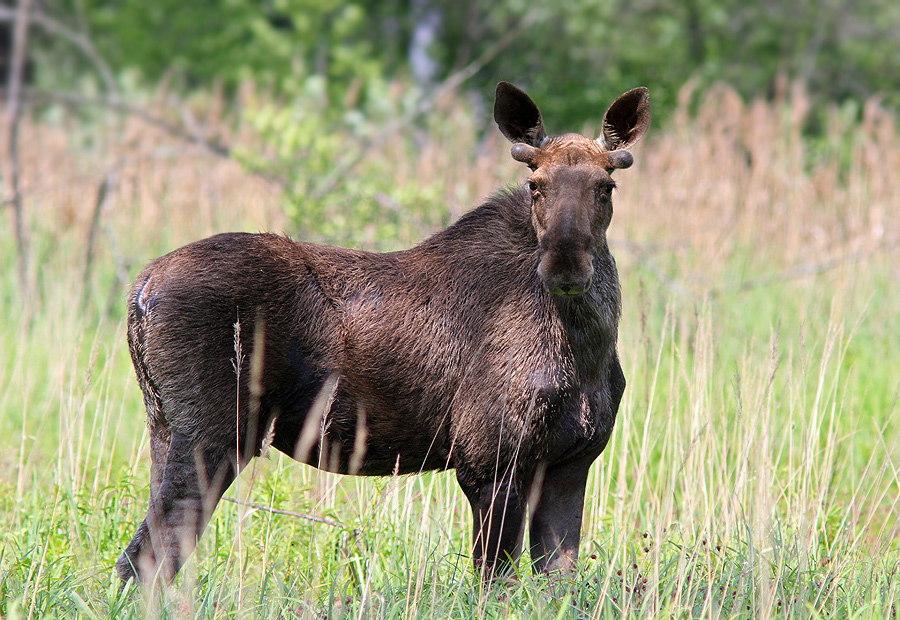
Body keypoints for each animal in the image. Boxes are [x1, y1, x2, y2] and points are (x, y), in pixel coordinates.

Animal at [116, 82, 652, 588]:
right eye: (535, 184)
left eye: (606, 185)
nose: (565, 266)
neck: (584, 350)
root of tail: (142, 291)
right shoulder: (488, 459)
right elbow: (494, 582)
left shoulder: (571, 464)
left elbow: (556, 580)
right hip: (215, 434)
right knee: (146, 557)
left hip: (166, 428)